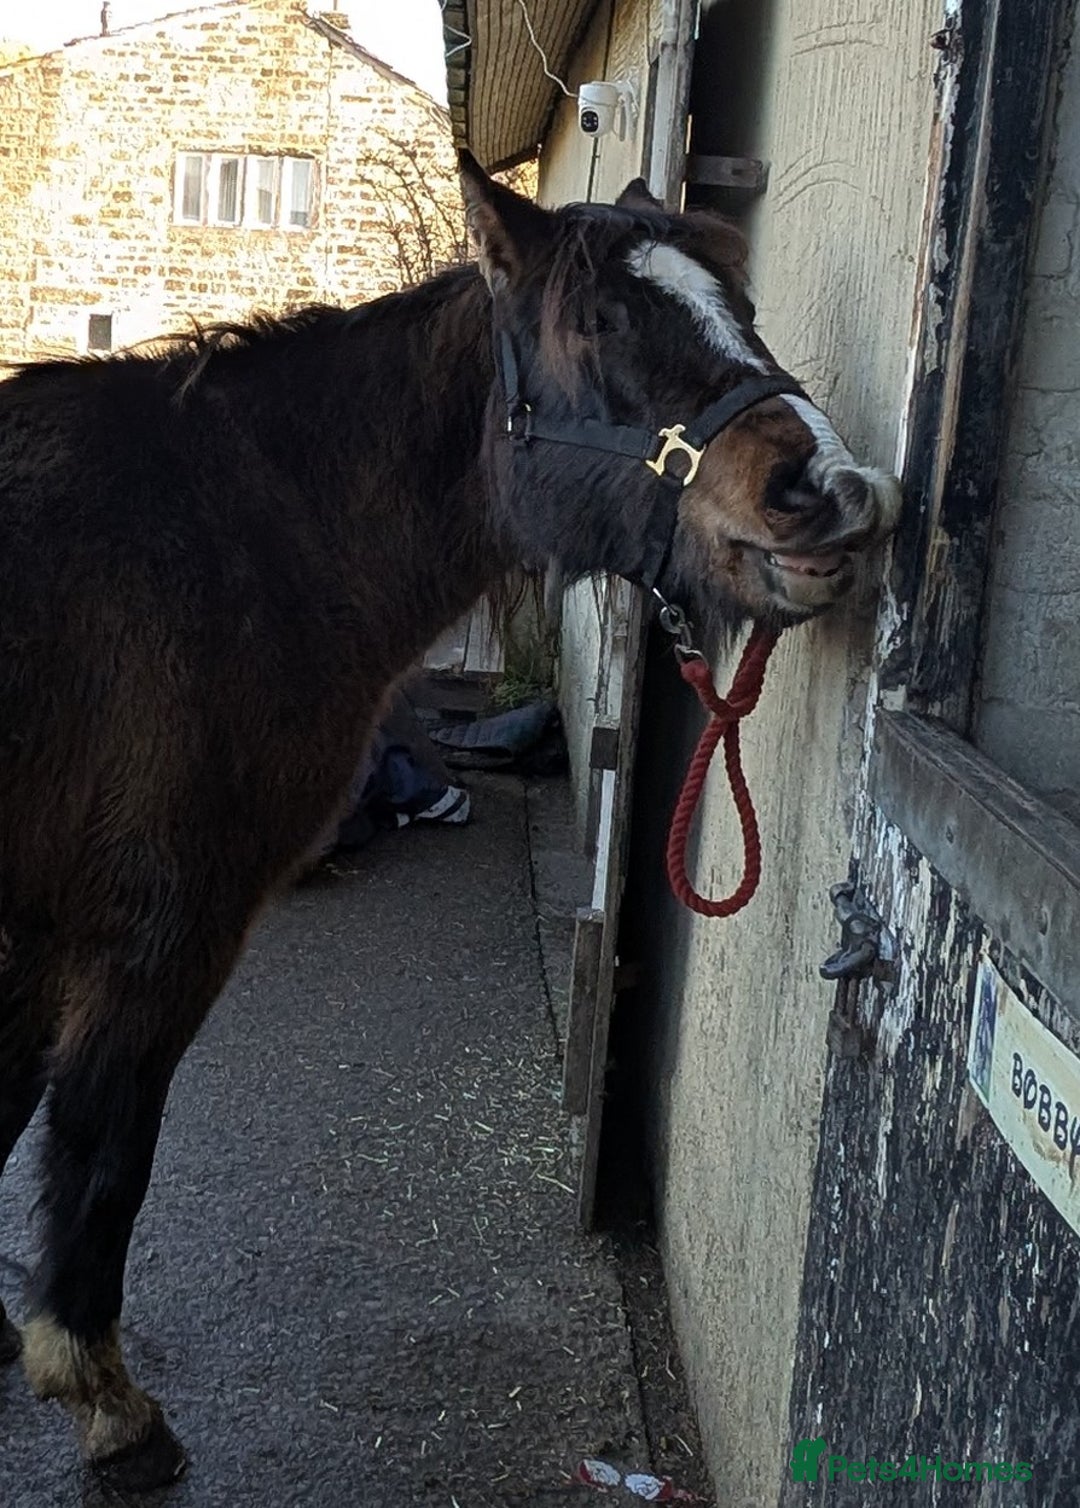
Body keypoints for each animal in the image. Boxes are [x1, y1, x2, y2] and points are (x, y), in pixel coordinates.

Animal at [0, 153, 900, 1490]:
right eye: (595, 323)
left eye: (741, 307)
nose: (834, 493)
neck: (218, 539)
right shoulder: (158, 932)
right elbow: (105, 1145)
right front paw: (106, 1400)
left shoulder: (36, 936)